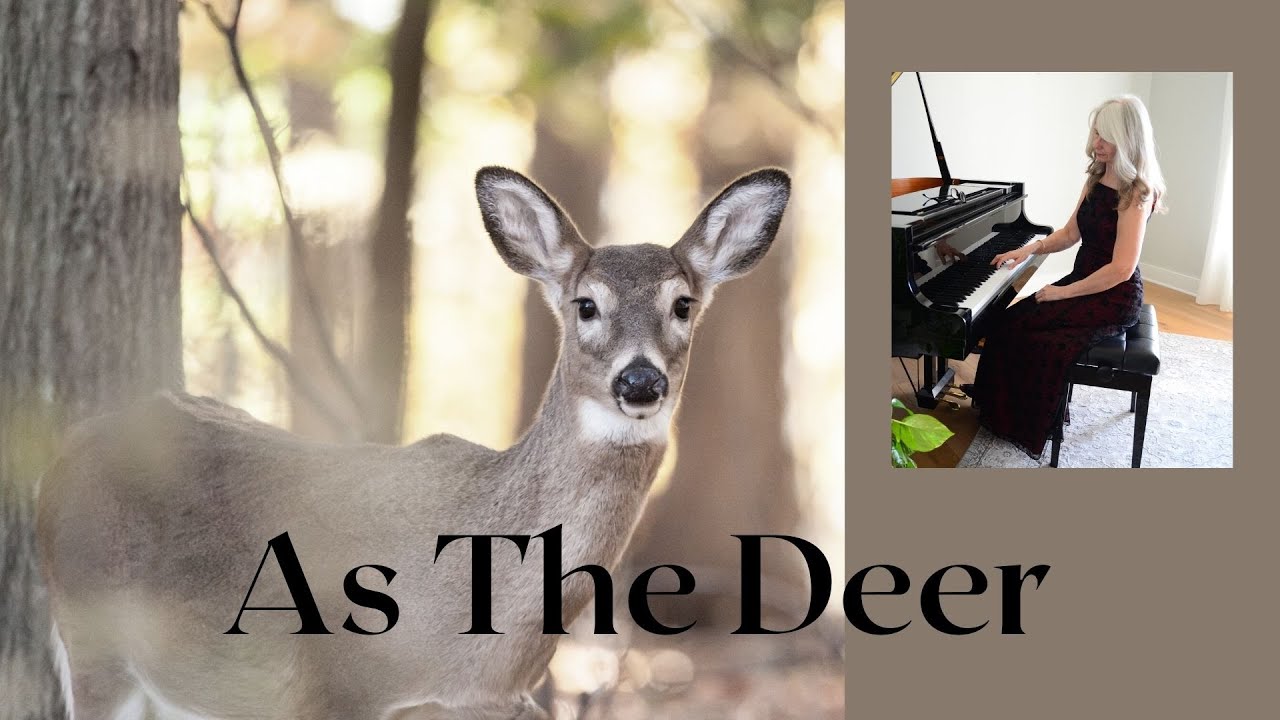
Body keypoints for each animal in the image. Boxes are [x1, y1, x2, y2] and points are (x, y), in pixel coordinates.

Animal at [35, 165, 790, 719]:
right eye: (587, 305)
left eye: (682, 304)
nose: (640, 380)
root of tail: (64, 455)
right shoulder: (334, 687)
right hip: (94, 641)